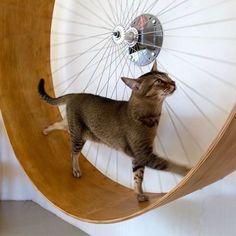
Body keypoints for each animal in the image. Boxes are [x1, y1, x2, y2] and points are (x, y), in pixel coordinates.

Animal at [38, 61, 190, 202]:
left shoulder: (138, 157)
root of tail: (75, 94)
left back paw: (46, 130)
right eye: (158, 81)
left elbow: (138, 177)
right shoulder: (144, 154)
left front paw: (139, 194)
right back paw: (76, 169)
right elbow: (169, 164)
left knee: (59, 124)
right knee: (73, 154)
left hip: (78, 130)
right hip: (78, 135)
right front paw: (187, 171)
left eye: (167, 76)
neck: (150, 115)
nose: (173, 82)